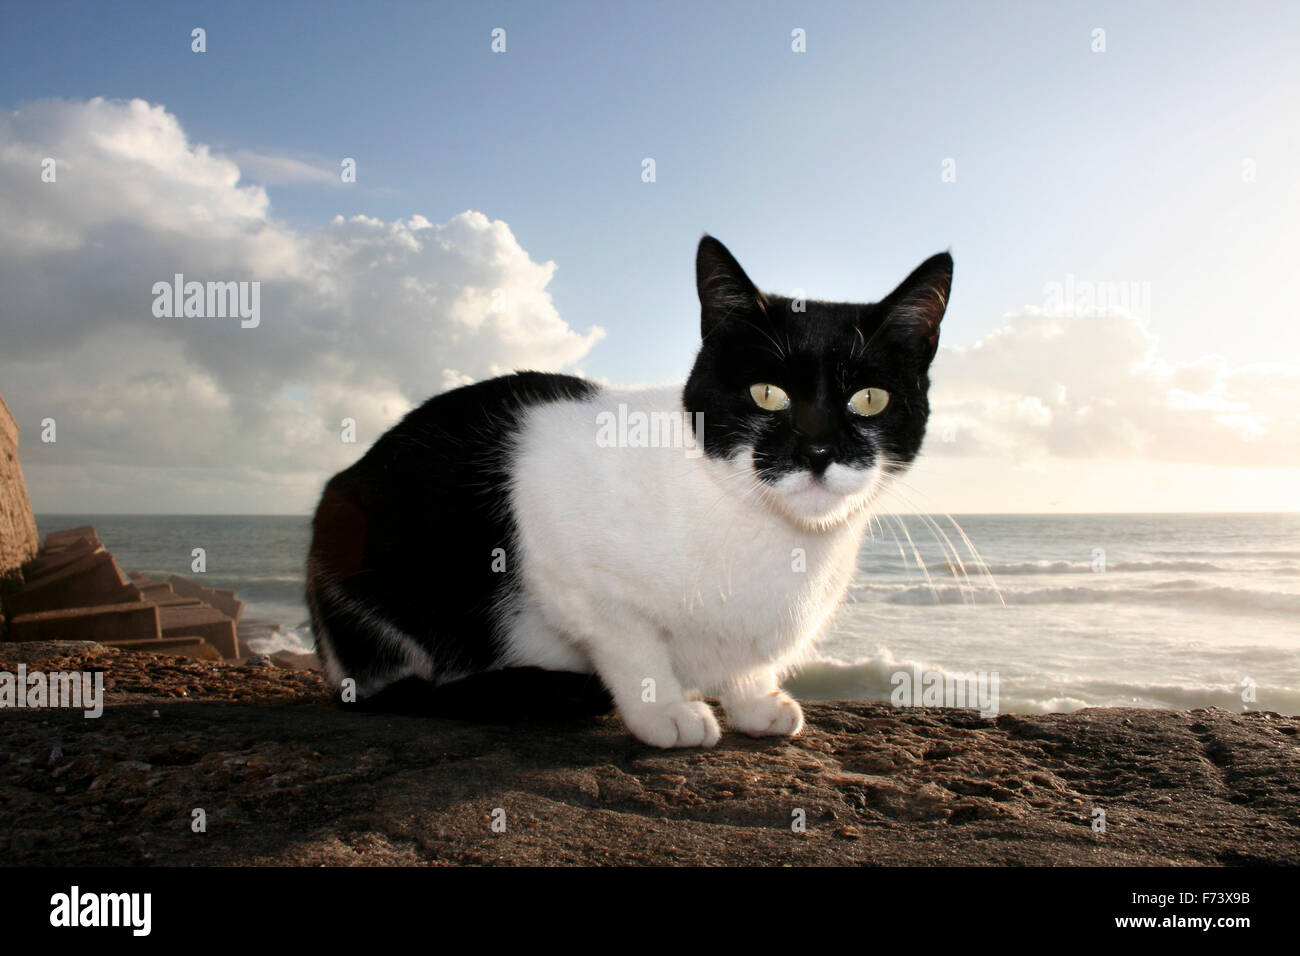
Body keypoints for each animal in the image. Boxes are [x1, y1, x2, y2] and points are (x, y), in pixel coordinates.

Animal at [306, 235, 956, 749]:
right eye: (767, 394)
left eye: (869, 399)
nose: (818, 452)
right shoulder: (576, 575)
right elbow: (632, 645)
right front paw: (665, 710)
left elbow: (744, 662)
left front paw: (753, 699)